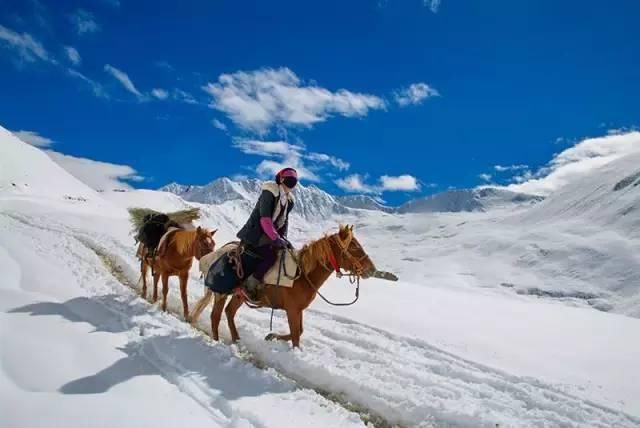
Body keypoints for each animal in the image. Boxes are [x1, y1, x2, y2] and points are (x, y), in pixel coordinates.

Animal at [192, 226, 378, 346]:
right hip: (221, 293)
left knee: (229, 312)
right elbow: (296, 336)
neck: (302, 275)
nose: (371, 269)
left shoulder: (297, 309)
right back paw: (217, 341)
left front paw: (272, 336)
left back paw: (237, 339)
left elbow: (298, 332)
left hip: (239, 295)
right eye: (354, 247)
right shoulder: (292, 310)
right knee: (215, 316)